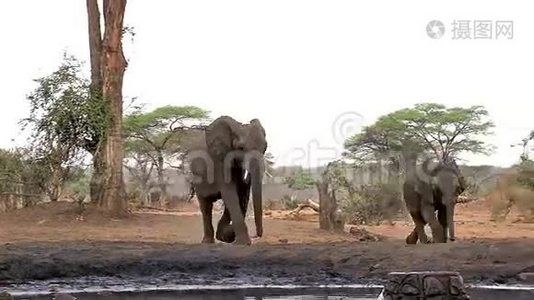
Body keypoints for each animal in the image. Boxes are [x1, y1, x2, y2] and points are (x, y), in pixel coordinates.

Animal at [185, 116, 268, 245]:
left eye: (265, 148)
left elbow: (241, 193)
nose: (256, 235)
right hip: (197, 179)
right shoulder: (219, 161)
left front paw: (225, 235)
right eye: (241, 148)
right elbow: (230, 193)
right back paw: (207, 242)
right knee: (205, 206)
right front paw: (242, 242)